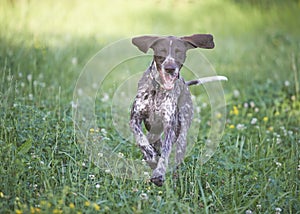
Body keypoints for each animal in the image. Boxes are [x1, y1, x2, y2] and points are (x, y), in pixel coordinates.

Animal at [130, 33, 226, 186]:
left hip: (181, 133)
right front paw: (150, 156)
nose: (170, 68)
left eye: (179, 52)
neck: (158, 89)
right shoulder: (135, 119)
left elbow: (165, 151)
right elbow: (141, 140)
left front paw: (159, 173)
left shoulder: (170, 126)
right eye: (161, 52)